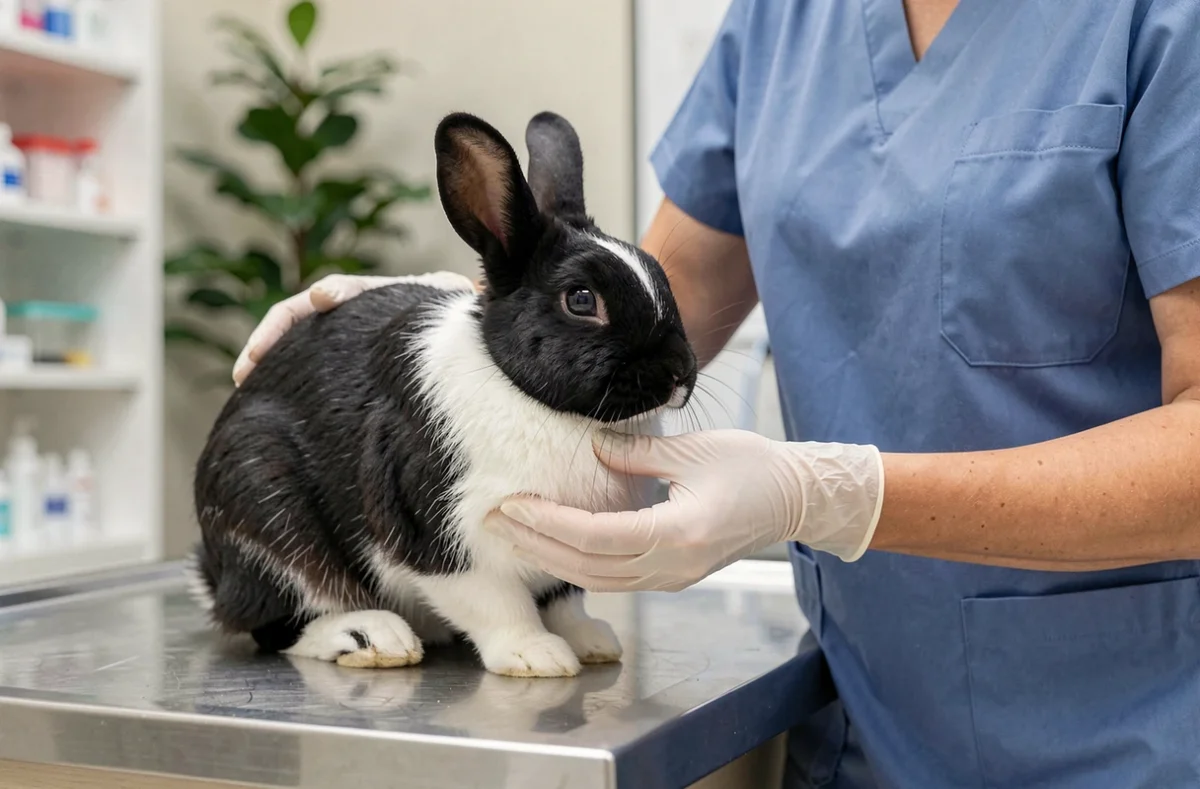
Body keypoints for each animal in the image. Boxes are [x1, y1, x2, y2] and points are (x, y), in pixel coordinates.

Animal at [185, 110, 697, 678]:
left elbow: (563, 600)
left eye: (661, 277)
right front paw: (536, 655)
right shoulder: (445, 539)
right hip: (263, 505)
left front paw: (590, 642)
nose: (678, 372)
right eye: (582, 300)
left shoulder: (568, 554)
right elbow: (498, 603)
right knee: (279, 620)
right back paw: (372, 636)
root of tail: (215, 575)